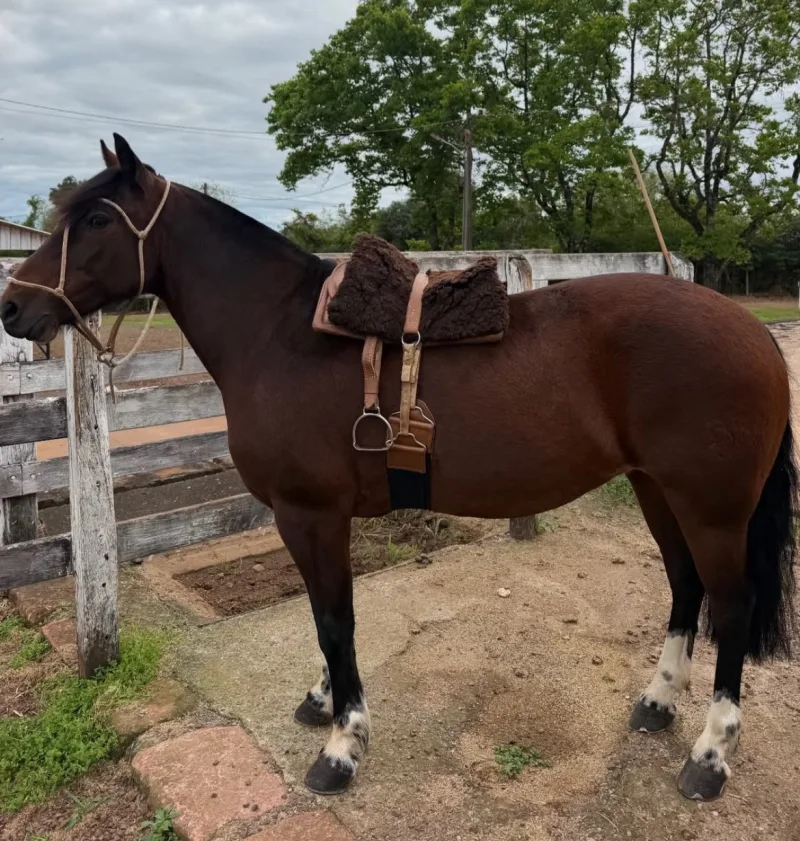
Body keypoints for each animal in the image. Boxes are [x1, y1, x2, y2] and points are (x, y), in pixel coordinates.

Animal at [2, 134, 795, 802]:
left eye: (95, 220)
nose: (12, 305)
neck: (280, 333)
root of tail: (751, 329)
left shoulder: (309, 513)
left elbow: (334, 620)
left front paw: (342, 744)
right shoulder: (320, 521)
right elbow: (329, 617)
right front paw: (324, 700)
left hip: (711, 509)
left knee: (730, 605)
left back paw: (709, 755)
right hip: (657, 490)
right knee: (685, 586)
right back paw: (658, 700)